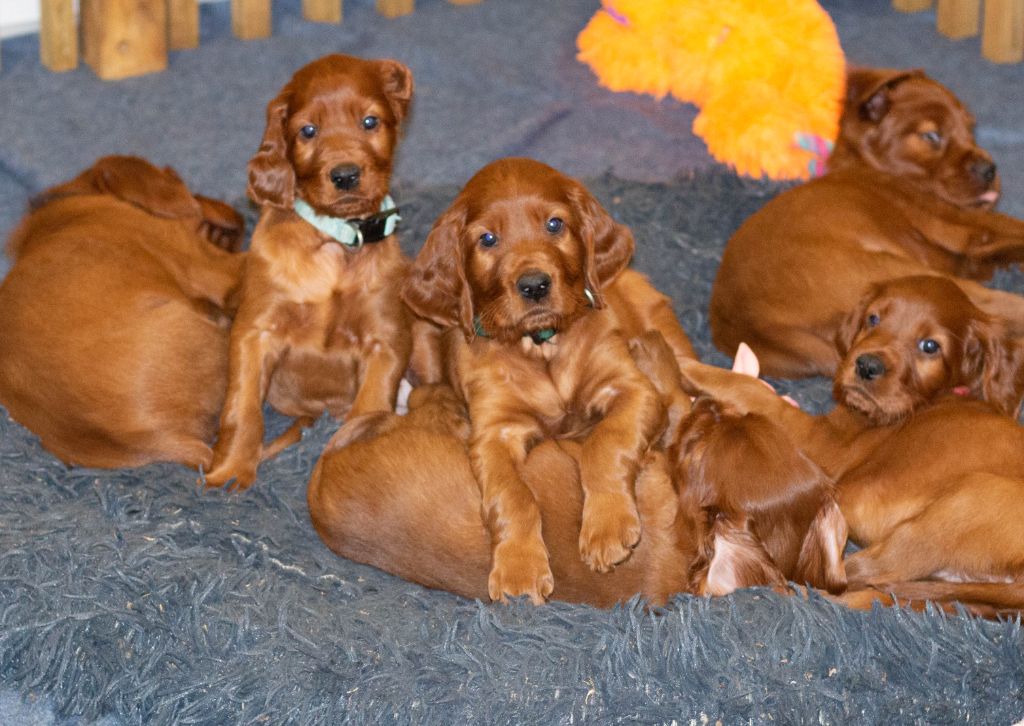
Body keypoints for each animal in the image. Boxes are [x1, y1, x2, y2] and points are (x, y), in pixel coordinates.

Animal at [708, 66, 1024, 378]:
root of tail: (754, 327)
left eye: (970, 128)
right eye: (931, 135)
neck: (868, 166)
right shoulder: (970, 227)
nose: (989, 170)